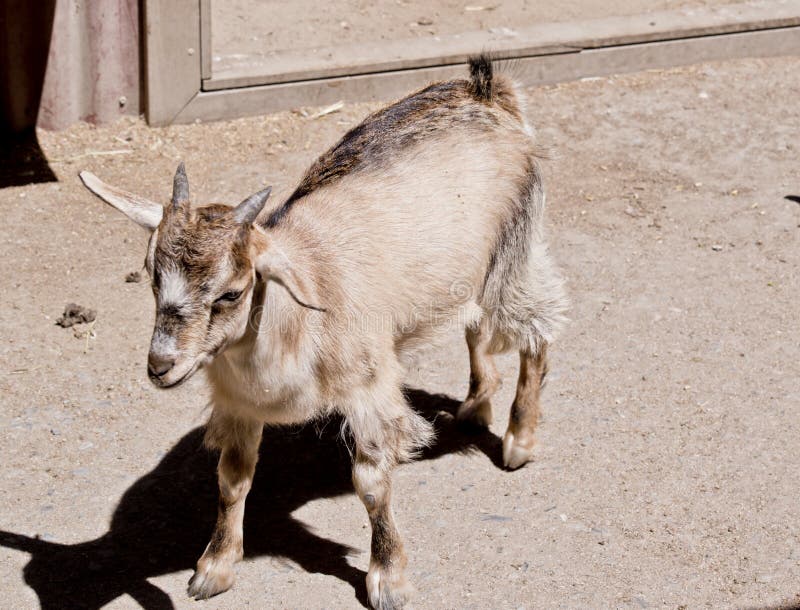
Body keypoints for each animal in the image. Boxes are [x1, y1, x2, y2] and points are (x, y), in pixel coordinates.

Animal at [79, 55, 567, 609]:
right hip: (467, 269)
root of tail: (486, 90)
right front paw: (214, 568)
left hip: (516, 248)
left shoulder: (369, 390)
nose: (160, 366)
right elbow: (232, 480)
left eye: (231, 293)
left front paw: (387, 579)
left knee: (536, 330)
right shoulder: (239, 404)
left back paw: (519, 439)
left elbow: (371, 484)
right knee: (475, 324)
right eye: (151, 275)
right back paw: (475, 405)